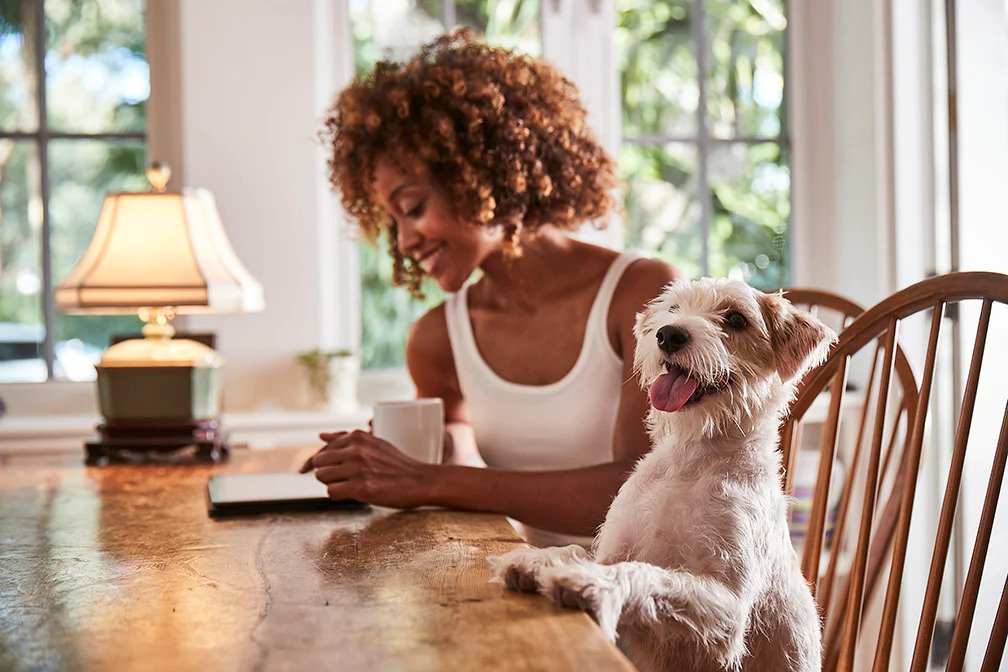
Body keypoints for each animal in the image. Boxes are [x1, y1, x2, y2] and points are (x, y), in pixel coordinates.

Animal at [489, 278, 834, 672]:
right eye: (673, 309)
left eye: (735, 318)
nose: (669, 334)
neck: (690, 460)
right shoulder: (615, 547)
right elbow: (581, 550)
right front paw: (536, 559)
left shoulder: (726, 606)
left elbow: (644, 572)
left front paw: (587, 583)